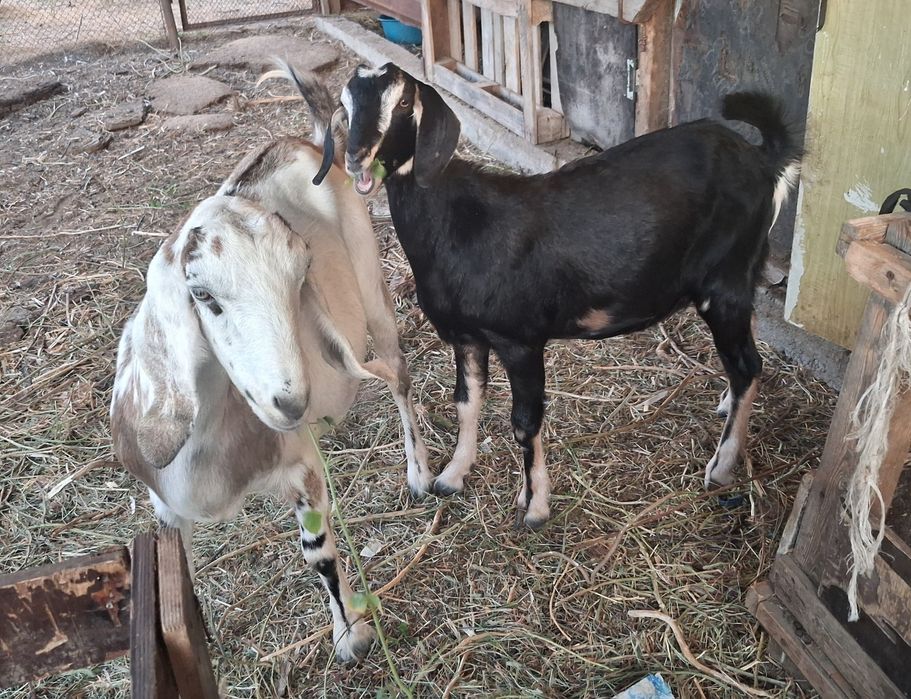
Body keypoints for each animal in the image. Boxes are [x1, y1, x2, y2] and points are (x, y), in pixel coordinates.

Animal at [110, 85, 434, 661]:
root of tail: (299, 140)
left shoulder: (301, 470)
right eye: (202, 294)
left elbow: (318, 553)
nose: (290, 403)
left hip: (373, 284)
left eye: (300, 276)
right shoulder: (164, 505)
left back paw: (419, 473)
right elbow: (179, 576)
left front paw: (351, 636)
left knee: (398, 374)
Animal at [301, 63, 801, 530]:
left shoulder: (520, 339)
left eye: (404, 103)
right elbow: (466, 401)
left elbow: (525, 422)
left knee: (747, 364)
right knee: (746, 353)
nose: (357, 158)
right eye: (346, 103)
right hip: (742, 275)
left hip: (724, 280)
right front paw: (452, 476)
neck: (459, 222)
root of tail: (761, 158)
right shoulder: (466, 336)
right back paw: (727, 407)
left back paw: (721, 465)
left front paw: (535, 505)